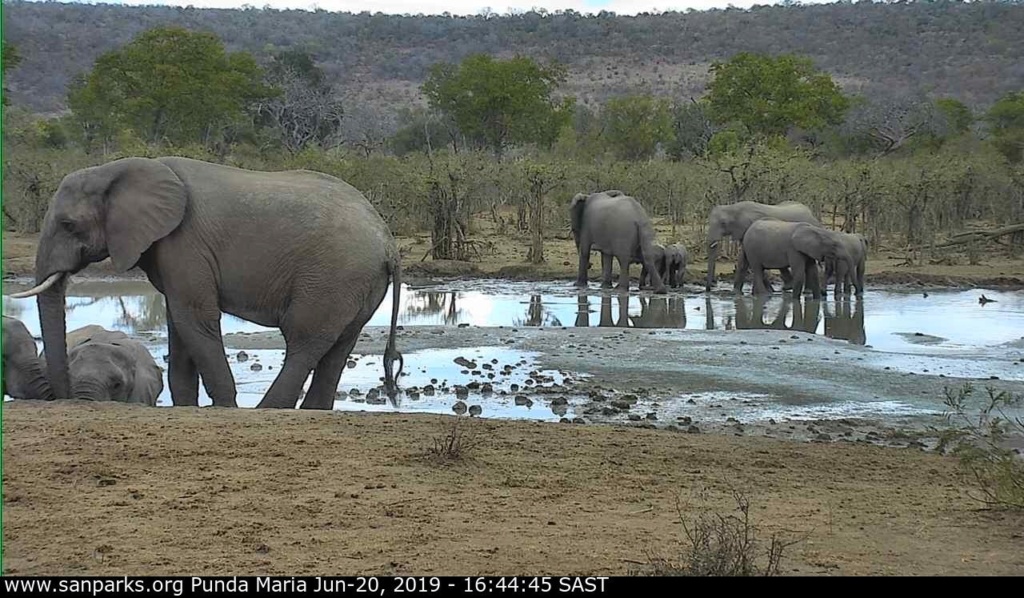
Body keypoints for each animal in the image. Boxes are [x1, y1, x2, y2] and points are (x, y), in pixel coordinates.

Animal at [12, 155, 403, 411]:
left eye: (68, 225)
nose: (62, 397)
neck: (116, 169)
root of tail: (388, 242)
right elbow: (178, 324)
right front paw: (185, 408)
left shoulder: (185, 243)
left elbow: (194, 319)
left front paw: (224, 408)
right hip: (358, 284)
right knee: (337, 348)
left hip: (333, 276)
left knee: (304, 340)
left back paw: (267, 410)